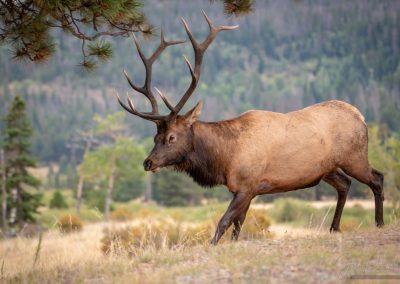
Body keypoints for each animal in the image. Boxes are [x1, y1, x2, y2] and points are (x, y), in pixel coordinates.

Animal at [116, 12, 384, 245]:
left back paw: (379, 223)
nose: (148, 162)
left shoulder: (247, 185)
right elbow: (238, 225)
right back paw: (334, 227)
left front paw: (212, 246)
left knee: (377, 178)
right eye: (155, 136)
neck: (225, 159)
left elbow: (224, 223)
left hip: (354, 156)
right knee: (345, 184)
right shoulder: (248, 190)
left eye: (171, 137)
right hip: (327, 169)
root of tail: (360, 115)